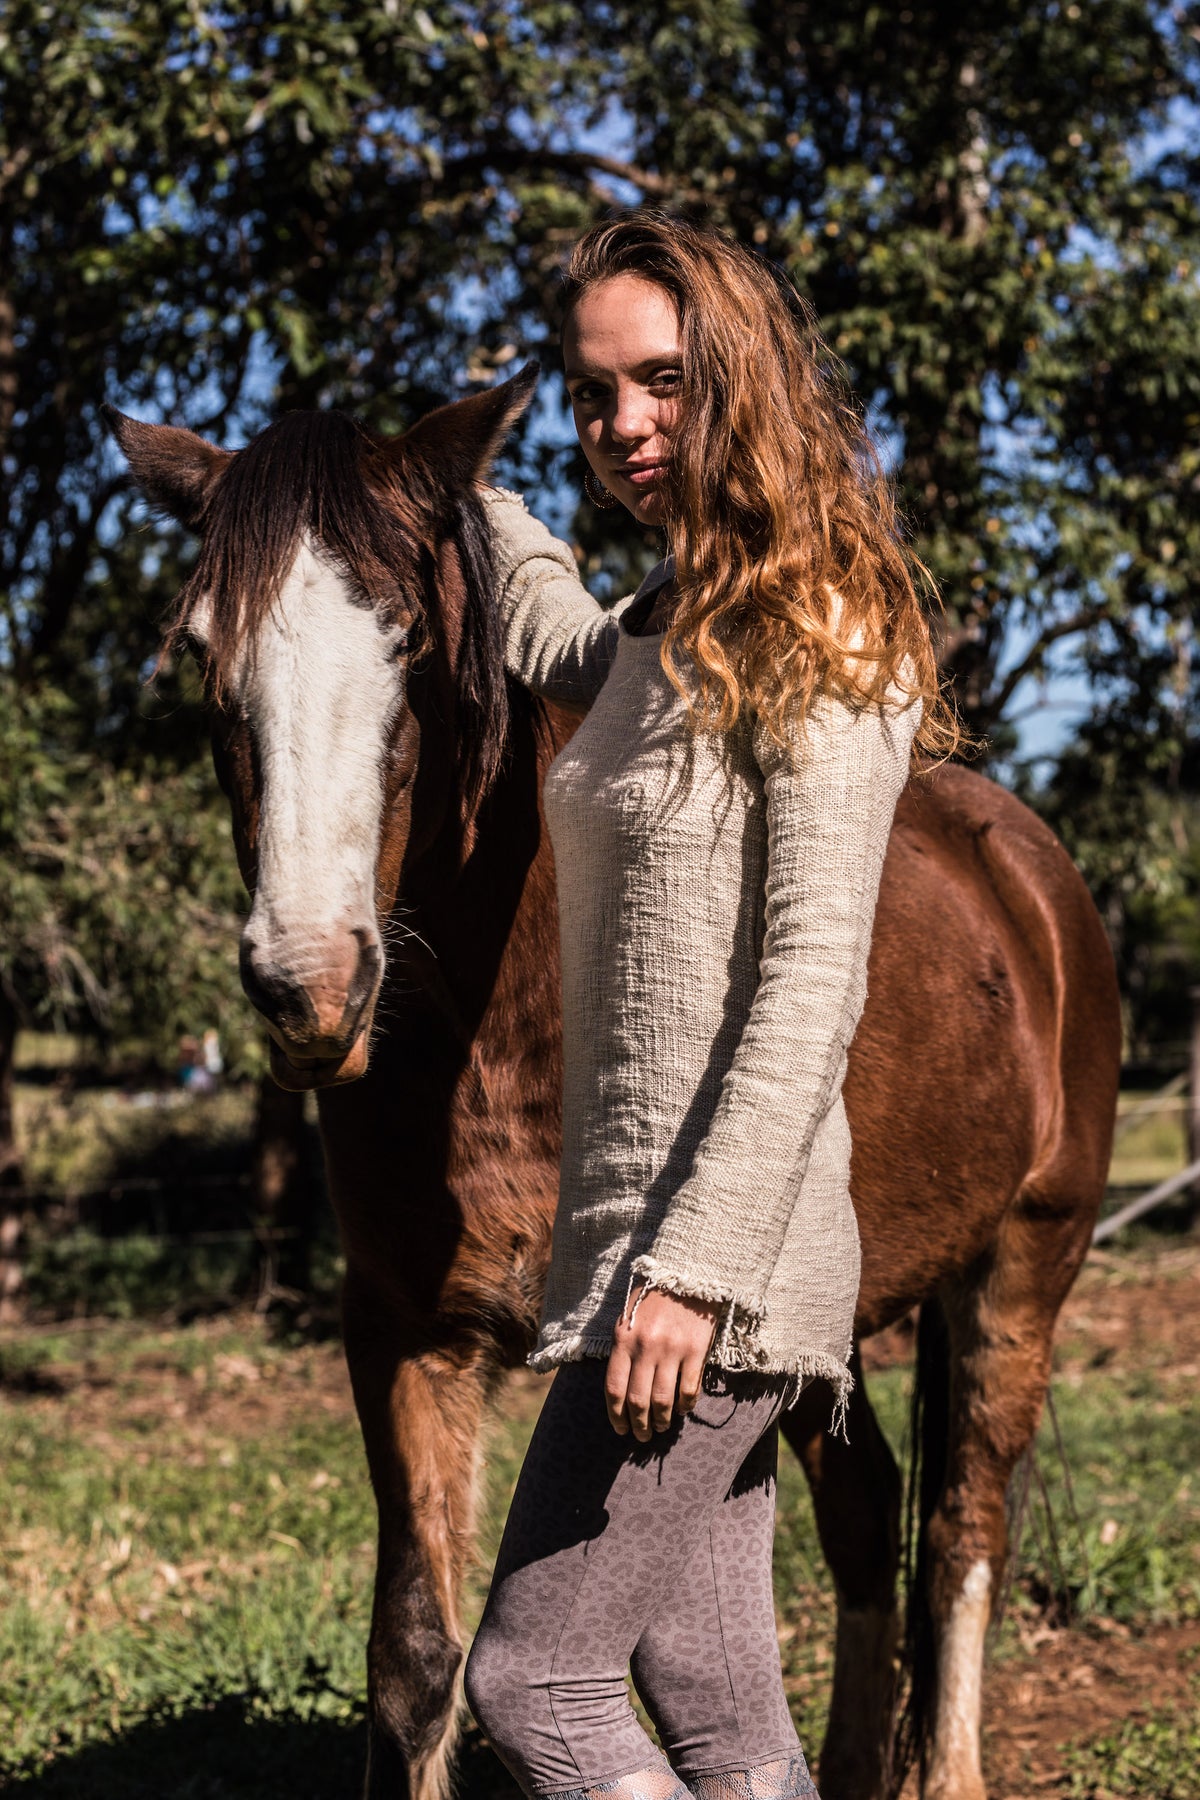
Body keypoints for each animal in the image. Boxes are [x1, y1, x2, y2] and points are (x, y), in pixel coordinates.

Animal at [107, 369, 1122, 1800]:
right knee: (872, 1528)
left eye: (409, 637)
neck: (511, 1026)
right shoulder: (405, 1334)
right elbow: (414, 1654)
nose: (310, 984)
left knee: (965, 1539)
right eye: (202, 654)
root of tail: (1028, 870)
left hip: (1018, 1277)